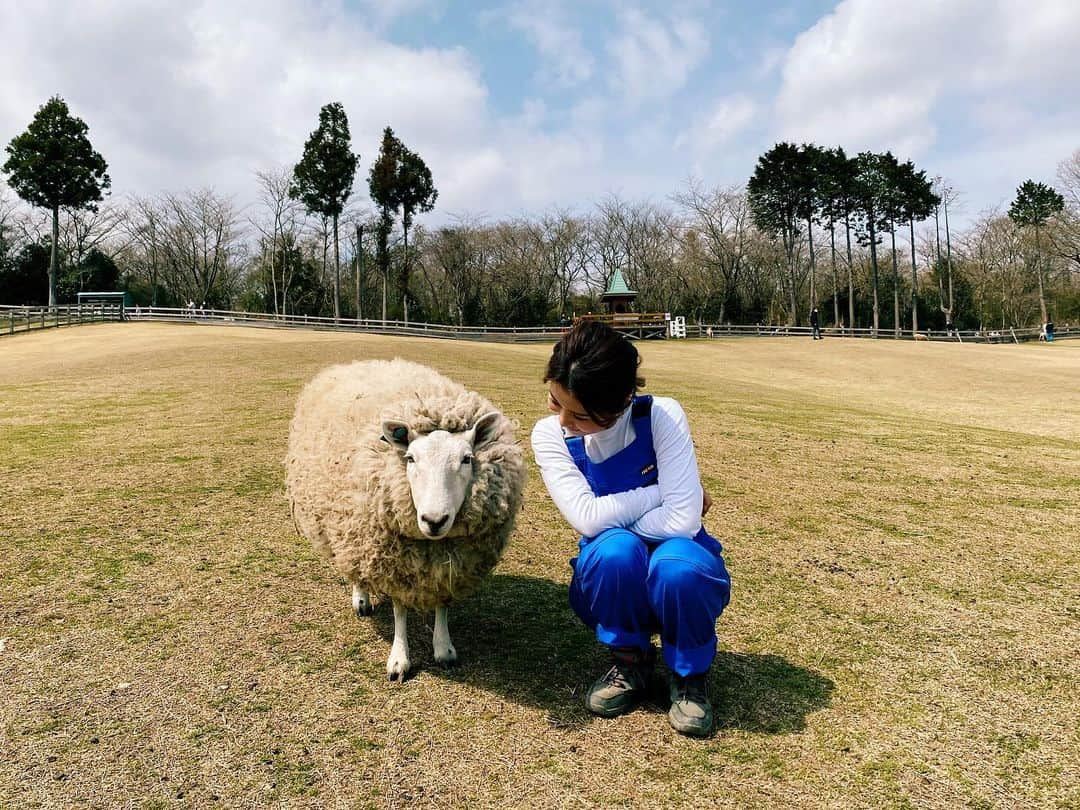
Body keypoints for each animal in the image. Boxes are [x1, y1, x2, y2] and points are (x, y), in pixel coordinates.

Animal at [285, 358, 524, 682]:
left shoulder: (447, 565)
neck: (433, 546)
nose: (434, 520)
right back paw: (361, 599)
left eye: (466, 459)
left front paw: (443, 647)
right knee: (354, 567)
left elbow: (443, 603)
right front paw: (399, 659)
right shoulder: (394, 563)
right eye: (410, 458)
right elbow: (400, 610)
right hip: (347, 529)